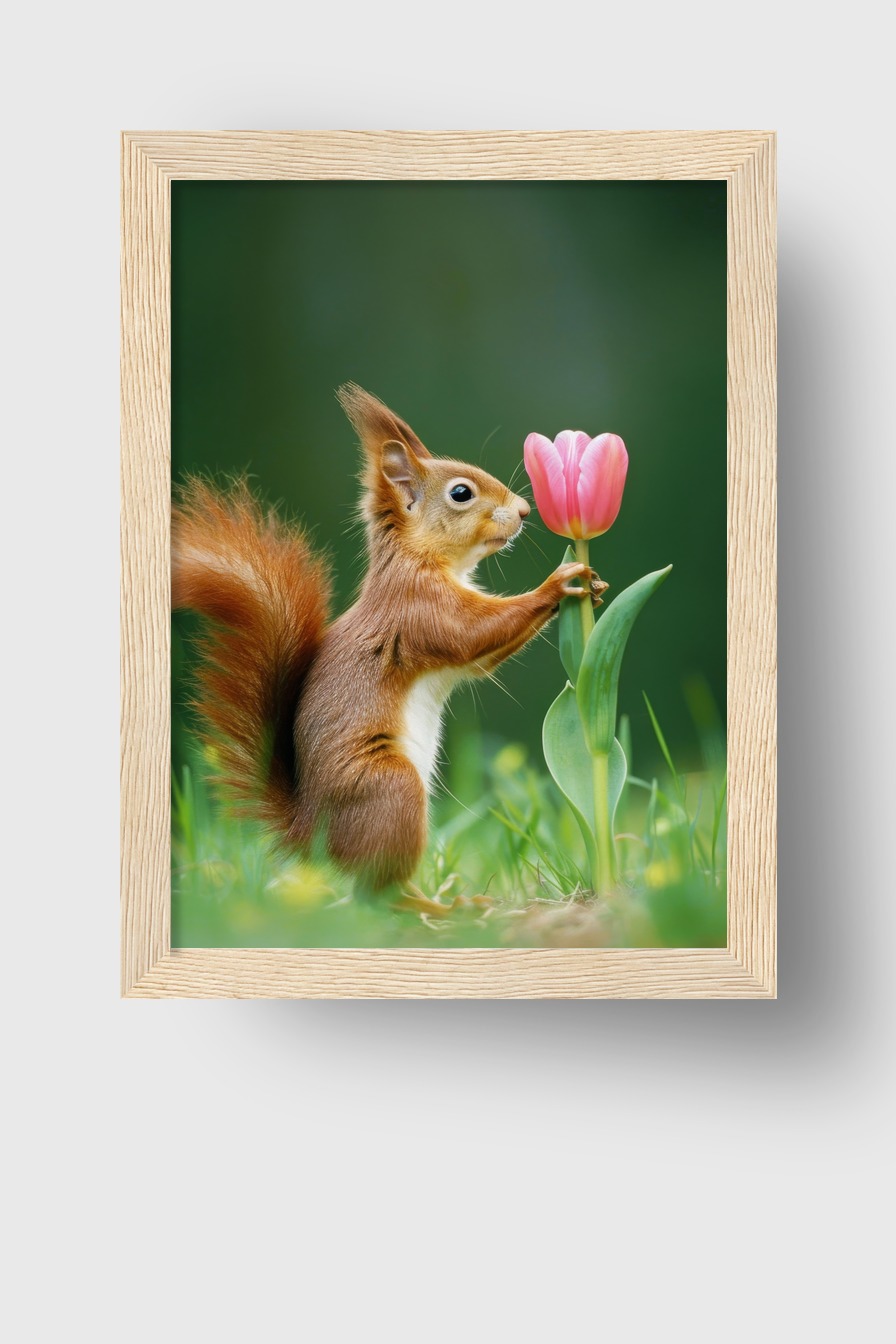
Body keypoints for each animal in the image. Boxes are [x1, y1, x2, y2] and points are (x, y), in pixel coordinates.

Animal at [172, 383, 595, 897]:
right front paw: (558, 584)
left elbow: (479, 658)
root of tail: (313, 838)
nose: (524, 510)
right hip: (391, 788)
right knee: (375, 893)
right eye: (461, 493)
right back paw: (438, 906)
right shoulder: (419, 611)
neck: (419, 560)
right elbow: (472, 632)